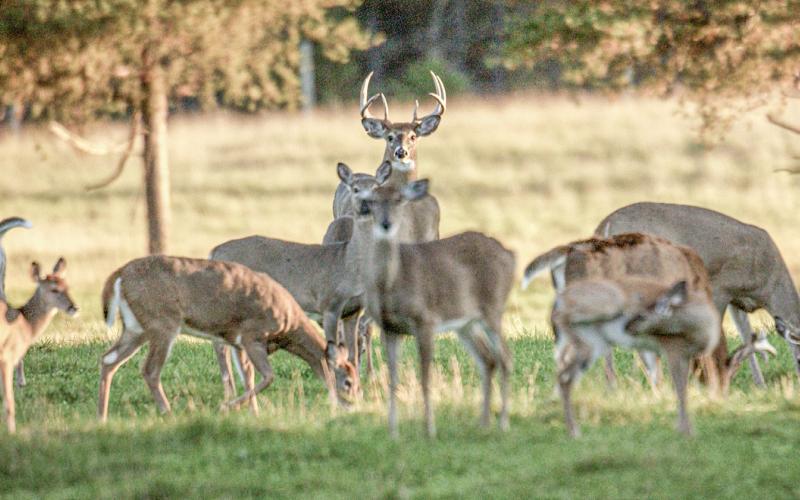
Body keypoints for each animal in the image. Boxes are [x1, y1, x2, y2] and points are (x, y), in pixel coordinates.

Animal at [1, 258, 78, 433]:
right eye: (54, 289)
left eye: (67, 286)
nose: (74, 307)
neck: (25, 323)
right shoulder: (7, 358)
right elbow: (8, 400)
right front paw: (12, 431)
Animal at [97, 255, 358, 422]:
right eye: (348, 382)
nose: (353, 404)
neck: (289, 326)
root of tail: (119, 275)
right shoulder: (252, 335)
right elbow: (268, 376)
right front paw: (227, 406)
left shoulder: (237, 343)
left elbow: (249, 377)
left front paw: (253, 413)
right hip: (162, 323)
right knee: (149, 369)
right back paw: (168, 413)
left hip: (135, 328)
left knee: (108, 360)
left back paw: (102, 417)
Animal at [360, 179, 515, 438]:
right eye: (372, 201)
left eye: (399, 199)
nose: (386, 223)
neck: (392, 284)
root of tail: (510, 255)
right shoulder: (390, 328)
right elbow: (393, 378)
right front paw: (393, 432)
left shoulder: (425, 320)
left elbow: (425, 377)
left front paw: (429, 429)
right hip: (466, 323)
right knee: (488, 359)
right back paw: (483, 423)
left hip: (493, 308)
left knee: (505, 357)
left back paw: (503, 423)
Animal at [594, 202, 796, 387]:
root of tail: (605, 226)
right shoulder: (720, 288)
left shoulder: (736, 301)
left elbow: (746, 335)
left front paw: (760, 385)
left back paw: (615, 385)